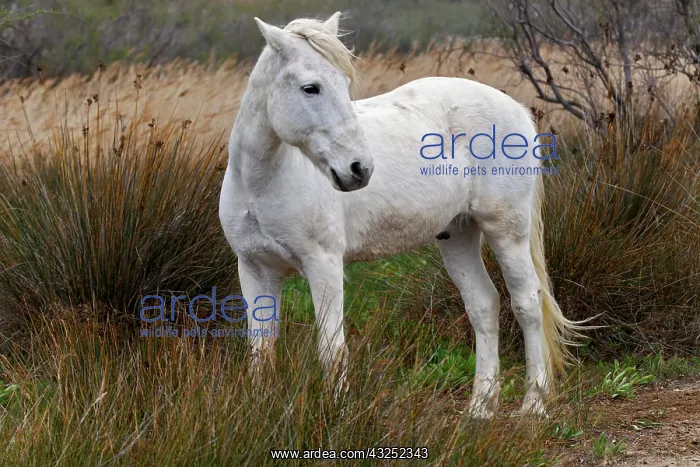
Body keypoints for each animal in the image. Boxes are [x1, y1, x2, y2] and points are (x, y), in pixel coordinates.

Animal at [219, 12, 581, 418]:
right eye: (310, 88)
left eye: (344, 83)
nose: (359, 169)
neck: (259, 184)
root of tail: (516, 109)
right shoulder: (254, 269)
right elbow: (261, 347)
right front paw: (257, 412)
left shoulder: (322, 264)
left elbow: (331, 346)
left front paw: (337, 414)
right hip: (458, 235)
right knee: (484, 306)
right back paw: (479, 409)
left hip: (506, 231)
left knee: (528, 304)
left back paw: (533, 404)